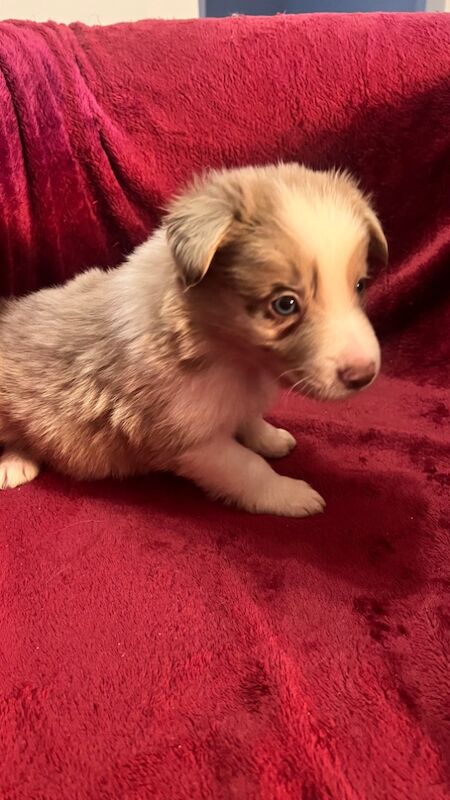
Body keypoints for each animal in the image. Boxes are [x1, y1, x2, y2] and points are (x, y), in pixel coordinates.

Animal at [0, 163, 386, 516]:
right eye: (285, 304)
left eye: (360, 286)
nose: (364, 375)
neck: (233, 355)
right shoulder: (190, 439)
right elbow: (249, 468)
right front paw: (290, 494)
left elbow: (249, 419)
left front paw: (271, 438)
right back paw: (13, 465)